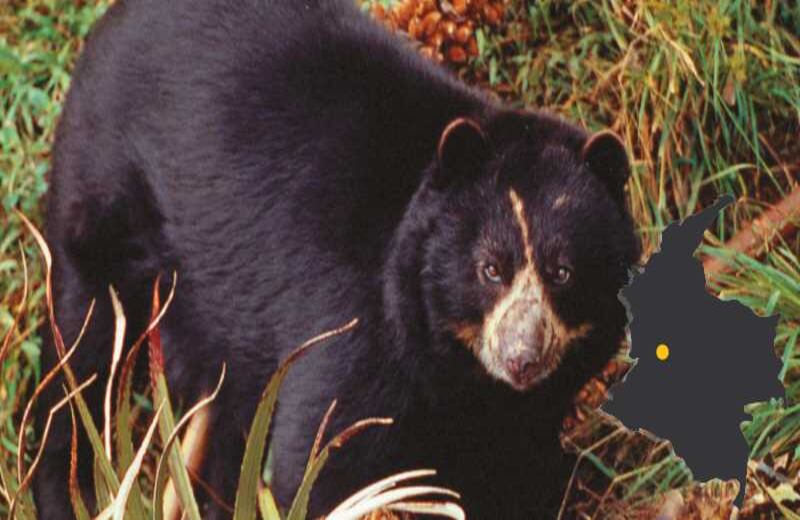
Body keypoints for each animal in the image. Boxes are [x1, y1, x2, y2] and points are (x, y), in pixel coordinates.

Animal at [34, 0, 641, 518]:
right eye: (490, 268)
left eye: (564, 272)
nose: (522, 360)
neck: (457, 368)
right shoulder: (357, 326)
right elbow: (322, 462)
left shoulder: (522, 414)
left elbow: (513, 473)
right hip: (103, 196)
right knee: (85, 351)